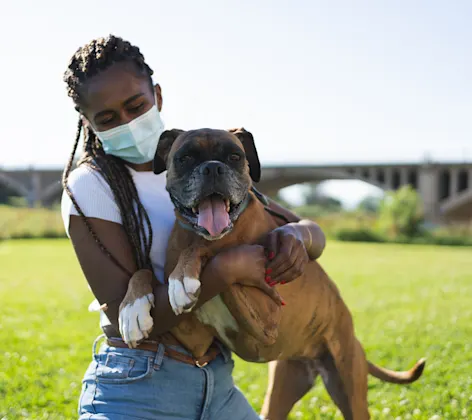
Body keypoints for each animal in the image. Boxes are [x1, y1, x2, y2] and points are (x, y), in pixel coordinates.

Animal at [119, 128, 428, 420]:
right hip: (281, 391)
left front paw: (184, 275)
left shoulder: (267, 321)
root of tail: (353, 338)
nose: (213, 168)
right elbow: (144, 271)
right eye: (185, 158)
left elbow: (210, 248)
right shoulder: (195, 341)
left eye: (235, 156)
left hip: (350, 391)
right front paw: (132, 309)